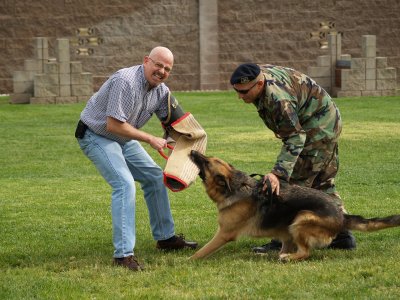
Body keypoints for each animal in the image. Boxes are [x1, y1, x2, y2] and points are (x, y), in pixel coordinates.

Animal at [189, 151, 400, 262]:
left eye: (206, 162)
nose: (192, 151)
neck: (236, 187)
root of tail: (341, 215)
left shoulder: (224, 234)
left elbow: (203, 251)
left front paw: (187, 260)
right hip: (289, 227)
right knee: (288, 246)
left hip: (301, 218)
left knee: (305, 252)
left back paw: (287, 258)